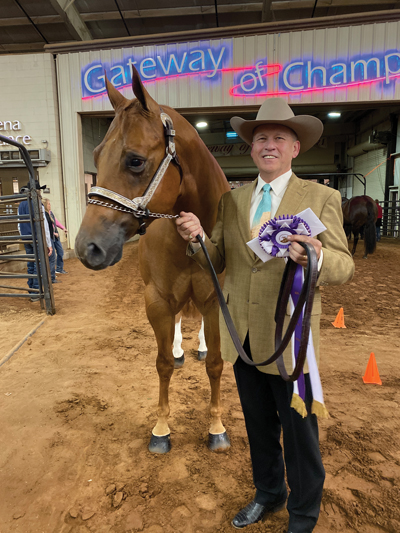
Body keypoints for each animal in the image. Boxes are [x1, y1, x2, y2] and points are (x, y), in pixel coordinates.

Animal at [75, 66, 231, 454]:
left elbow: (216, 364)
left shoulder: (213, 300)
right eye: (96, 156)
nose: (87, 248)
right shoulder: (157, 300)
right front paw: (161, 429)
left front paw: (216, 427)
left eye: (135, 160)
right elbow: (162, 365)